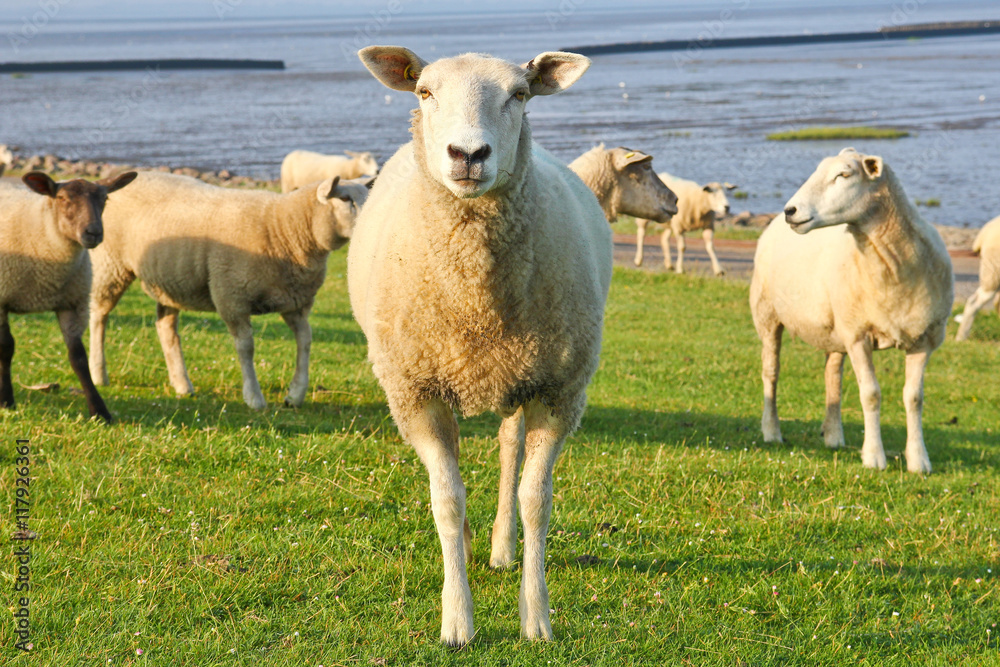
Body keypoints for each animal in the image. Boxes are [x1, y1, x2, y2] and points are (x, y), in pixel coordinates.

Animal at [0, 172, 138, 422]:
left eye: (105, 198)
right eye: (62, 198)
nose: (93, 232)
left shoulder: (71, 305)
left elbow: (79, 358)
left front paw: (99, 411)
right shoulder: (2, 298)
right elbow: (6, 348)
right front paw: (6, 399)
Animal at [88, 171, 370, 412]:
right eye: (345, 199)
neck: (282, 227)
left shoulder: (295, 303)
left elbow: (306, 341)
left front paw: (295, 394)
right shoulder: (232, 297)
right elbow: (246, 348)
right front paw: (254, 397)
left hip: (170, 280)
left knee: (165, 327)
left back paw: (182, 384)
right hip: (111, 265)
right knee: (99, 316)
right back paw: (98, 373)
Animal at [352, 45, 612, 640]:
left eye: (520, 94)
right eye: (425, 92)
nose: (468, 154)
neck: (476, 297)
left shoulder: (560, 390)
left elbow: (536, 499)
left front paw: (536, 617)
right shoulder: (415, 391)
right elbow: (446, 499)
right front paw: (457, 620)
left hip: (521, 371)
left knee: (509, 447)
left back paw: (500, 548)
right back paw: (470, 549)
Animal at [752, 150, 952, 474]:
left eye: (844, 175)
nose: (790, 210)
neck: (894, 267)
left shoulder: (925, 338)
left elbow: (914, 398)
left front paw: (918, 460)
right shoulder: (858, 336)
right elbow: (870, 394)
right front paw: (873, 457)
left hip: (837, 326)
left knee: (832, 374)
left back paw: (834, 436)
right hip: (767, 314)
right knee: (771, 372)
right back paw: (771, 431)